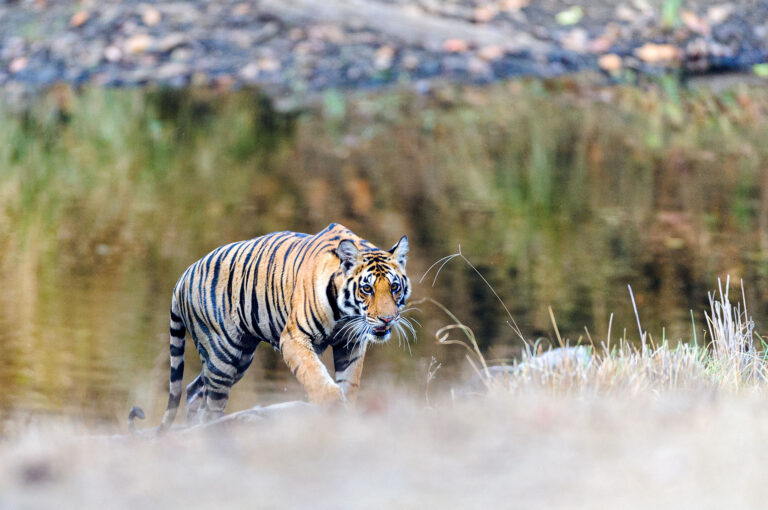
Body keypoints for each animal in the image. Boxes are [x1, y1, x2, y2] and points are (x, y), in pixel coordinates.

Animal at [143, 223, 412, 430]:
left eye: (394, 287)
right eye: (367, 288)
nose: (387, 319)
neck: (346, 314)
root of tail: (182, 276)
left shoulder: (350, 343)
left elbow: (350, 383)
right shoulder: (294, 338)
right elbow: (316, 377)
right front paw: (332, 409)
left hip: (239, 357)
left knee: (194, 390)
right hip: (223, 353)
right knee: (211, 404)